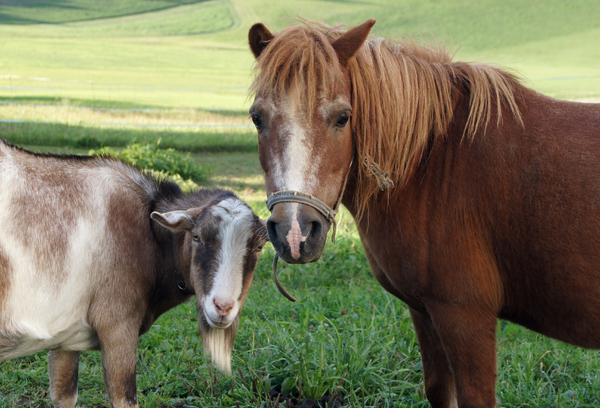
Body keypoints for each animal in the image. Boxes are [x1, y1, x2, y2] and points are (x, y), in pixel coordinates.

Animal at [245, 17, 600, 406]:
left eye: (343, 117)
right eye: (257, 118)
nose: (295, 233)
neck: (432, 161)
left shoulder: (465, 316)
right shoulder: (425, 312)